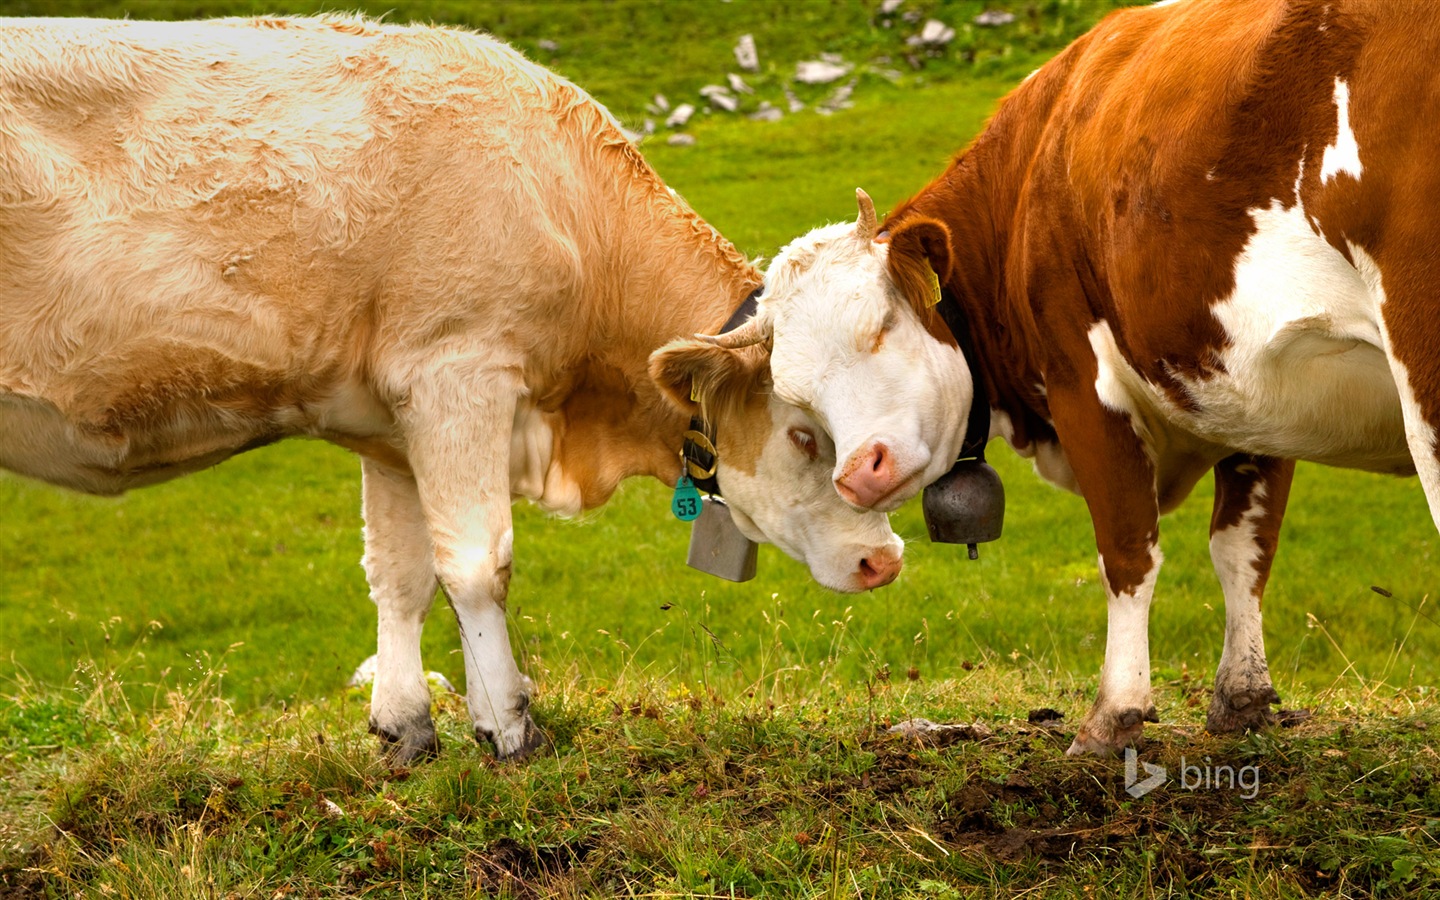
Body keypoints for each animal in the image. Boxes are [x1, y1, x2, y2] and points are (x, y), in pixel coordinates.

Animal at [0, 14, 898, 760]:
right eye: (803, 434)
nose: (884, 561)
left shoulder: (389, 421)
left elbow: (401, 573)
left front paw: (407, 724)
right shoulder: (457, 369)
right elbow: (476, 562)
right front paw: (509, 724)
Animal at [702, 0, 1434, 754]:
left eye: (879, 326)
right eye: (798, 398)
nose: (859, 475)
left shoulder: (1083, 381)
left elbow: (1126, 548)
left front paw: (1114, 714)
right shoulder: (1249, 394)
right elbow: (1243, 550)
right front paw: (1242, 697)